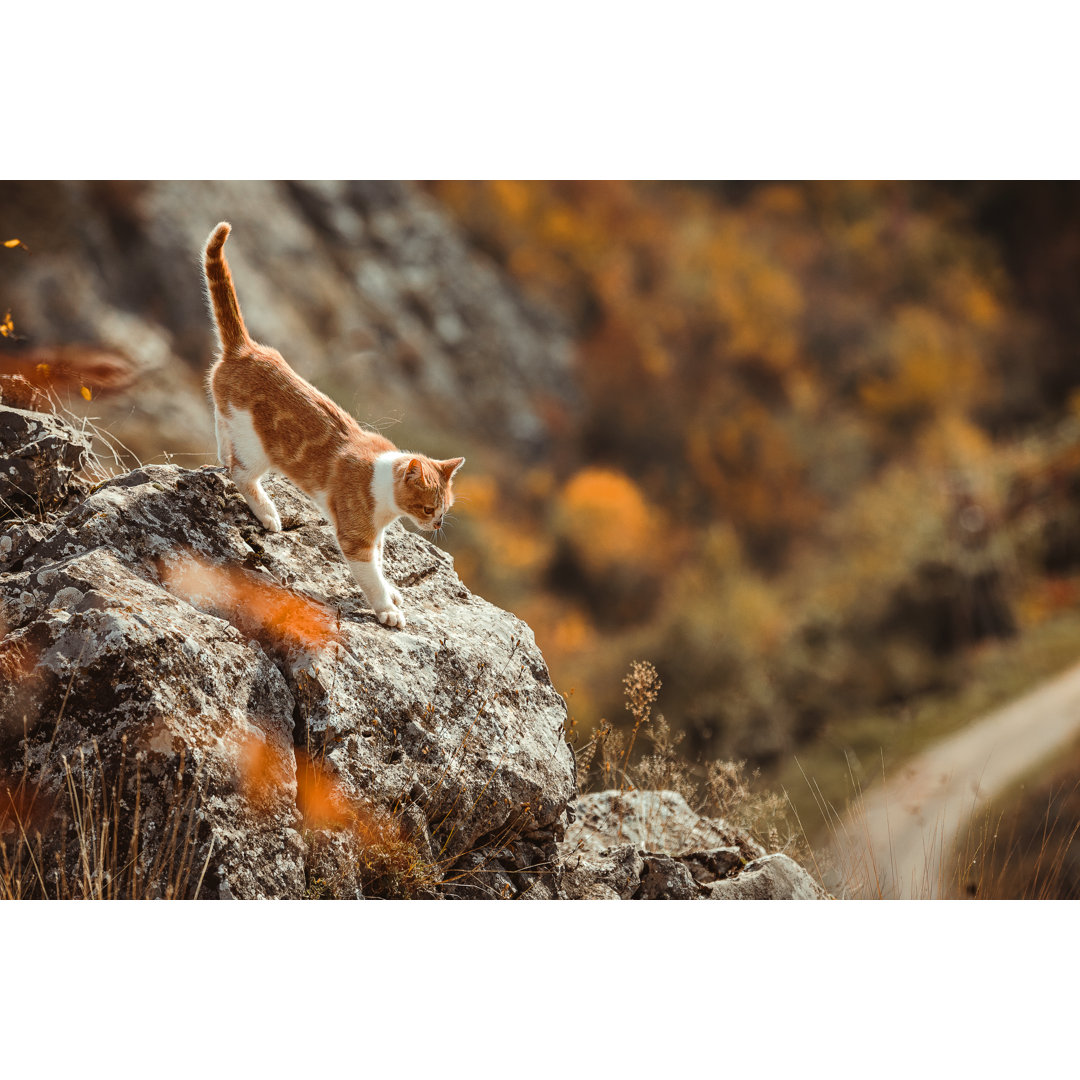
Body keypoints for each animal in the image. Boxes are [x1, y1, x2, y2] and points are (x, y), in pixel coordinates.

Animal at [203, 223, 464, 630]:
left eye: (445, 508)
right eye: (427, 508)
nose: (437, 525)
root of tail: (246, 349)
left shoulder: (376, 538)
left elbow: (381, 565)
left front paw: (392, 592)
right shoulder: (356, 538)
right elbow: (370, 575)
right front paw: (387, 608)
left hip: (233, 417)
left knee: (219, 421)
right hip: (259, 448)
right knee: (240, 473)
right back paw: (268, 514)